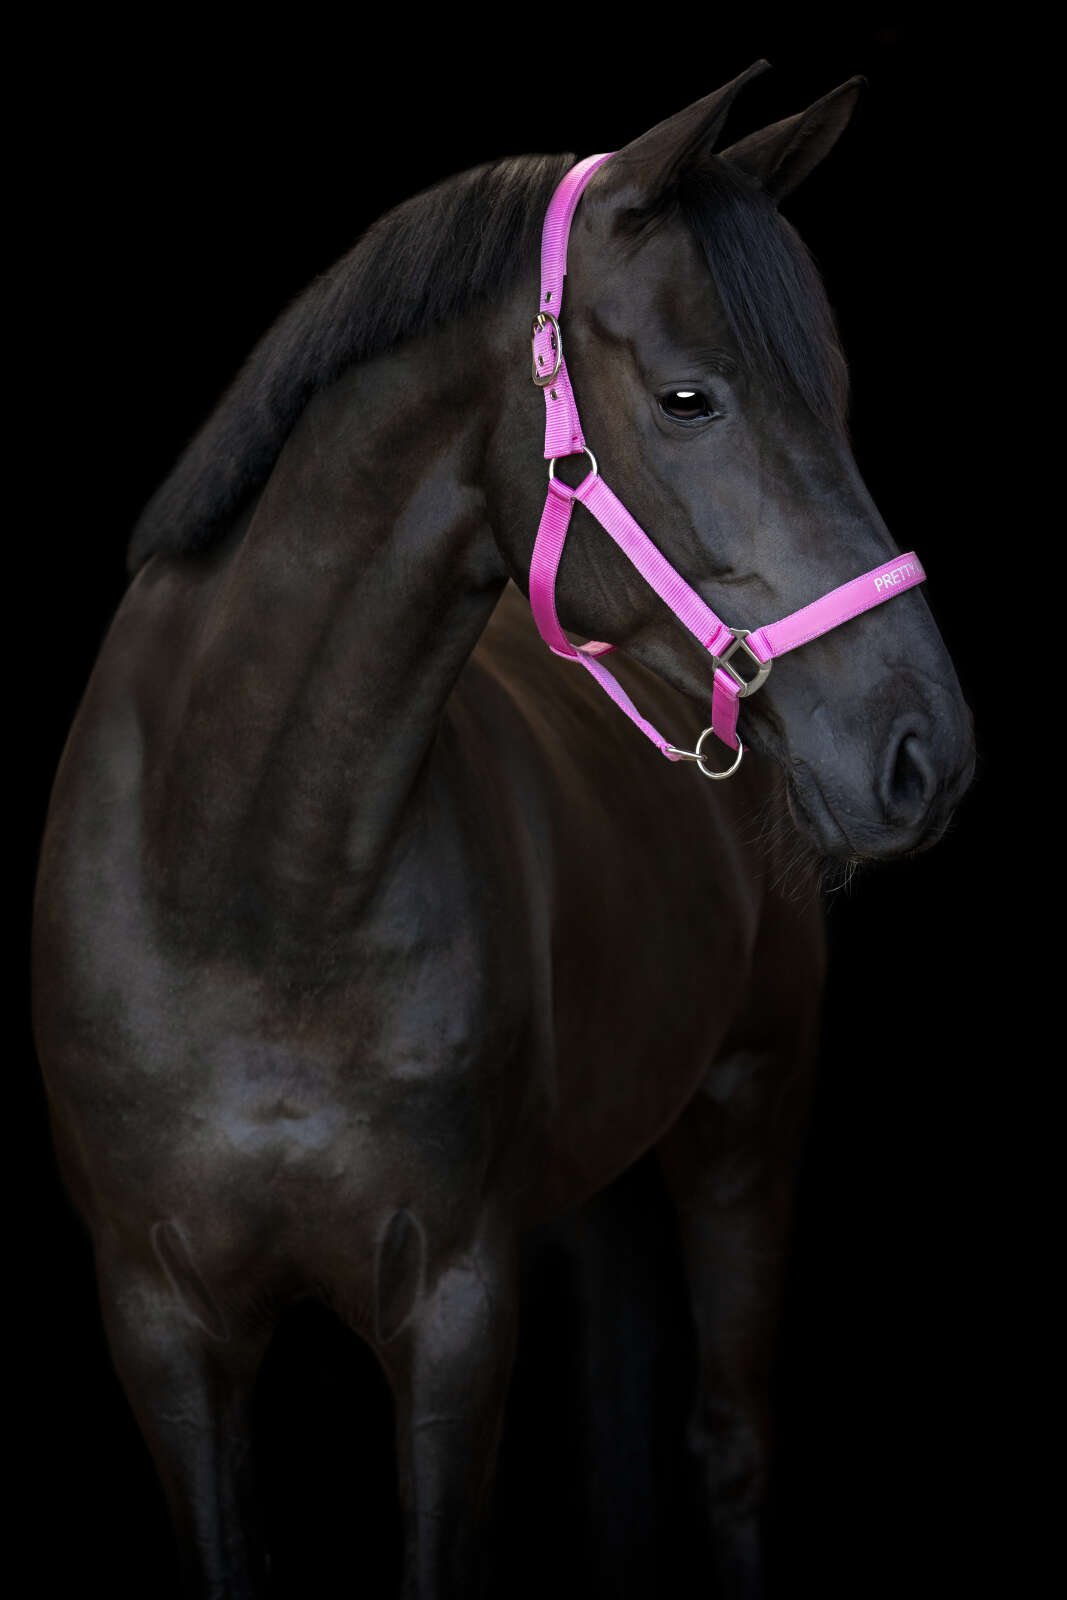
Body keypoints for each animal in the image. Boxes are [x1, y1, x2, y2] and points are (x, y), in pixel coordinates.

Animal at [31, 61, 974, 1598]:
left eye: (832, 393)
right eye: (688, 397)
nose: (922, 753)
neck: (242, 888)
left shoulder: (455, 1311)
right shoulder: (159, 1321)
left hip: (747, 1109)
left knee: (724, 1441)